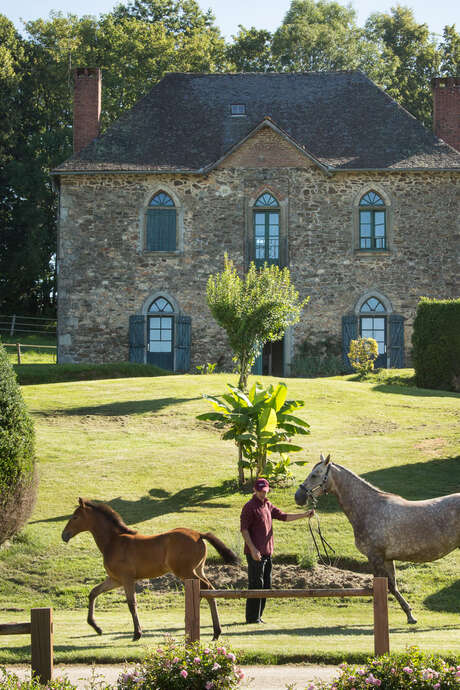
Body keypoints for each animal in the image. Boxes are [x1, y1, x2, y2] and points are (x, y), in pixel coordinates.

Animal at [294, 454, 460, 620]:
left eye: (314, 474)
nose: (298, 497)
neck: (369, 508)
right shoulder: (386, 559)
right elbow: (392, 585)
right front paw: (409, 613)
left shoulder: (375, 557)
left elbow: (388, 585)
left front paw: (410, 616)